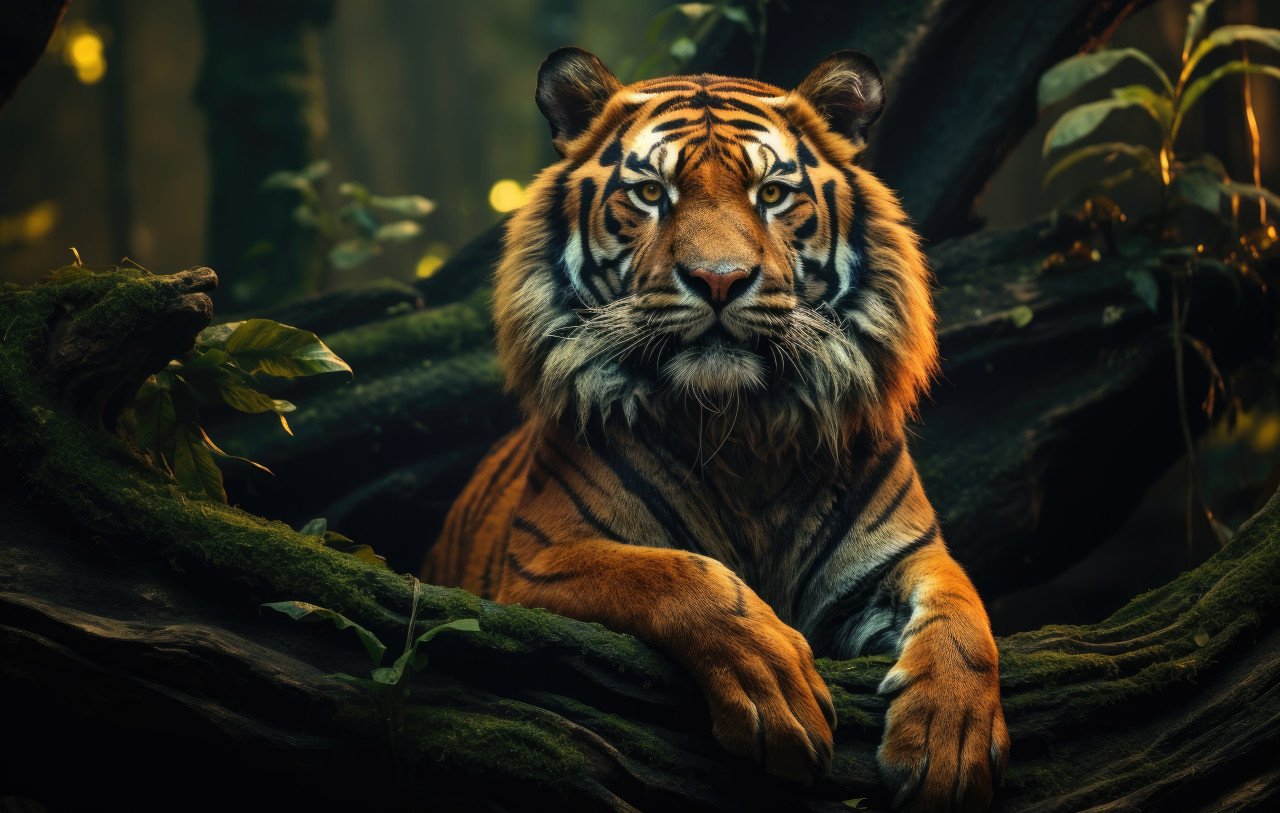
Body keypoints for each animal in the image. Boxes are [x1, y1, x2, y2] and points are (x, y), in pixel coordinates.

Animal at [423, 47, 1009, 810]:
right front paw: (775, 691)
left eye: (772, 194)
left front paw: (949, 739)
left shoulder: (904, 556)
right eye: (651, 194)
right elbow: (674, 574)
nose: (720, 279)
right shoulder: (535, 569)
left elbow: (964, 615)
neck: (742, 430)